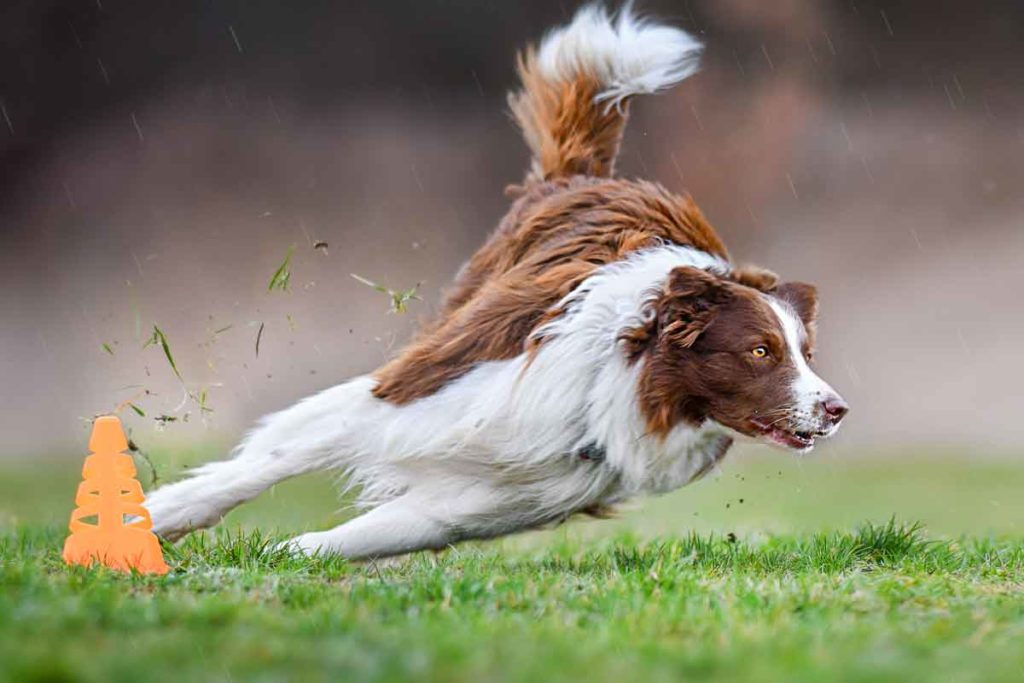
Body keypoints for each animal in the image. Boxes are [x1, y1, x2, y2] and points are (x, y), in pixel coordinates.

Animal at [144, 3, 847, 561]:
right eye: (760, 351)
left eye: (806, 353)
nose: (837, 409)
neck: (623, 385)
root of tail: (587, 175)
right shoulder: (417, 391)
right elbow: (265, 462)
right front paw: (152, 519)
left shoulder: (503, 495)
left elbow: (357, 536)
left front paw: (280, 555)